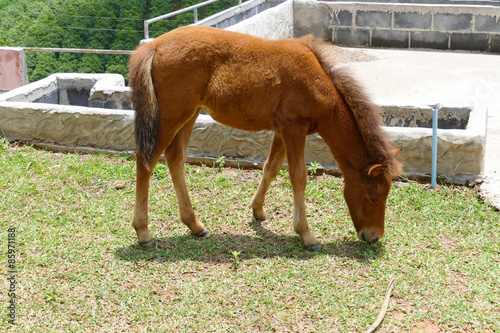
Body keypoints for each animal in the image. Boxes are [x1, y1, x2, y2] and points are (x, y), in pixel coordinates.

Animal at [129, 26, 402, 250]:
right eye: (373, 196)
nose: (373, 236)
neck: (317, 82)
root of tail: (153, 46)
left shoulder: (281, 130)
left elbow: (271, 168)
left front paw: (258, 210)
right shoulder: (294, 128)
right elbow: (298, 176)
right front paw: (306, 235)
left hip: (190, 114)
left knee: (175, 158)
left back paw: (194, 225)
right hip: (171, 117)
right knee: (145, 160)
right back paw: (143, 233)